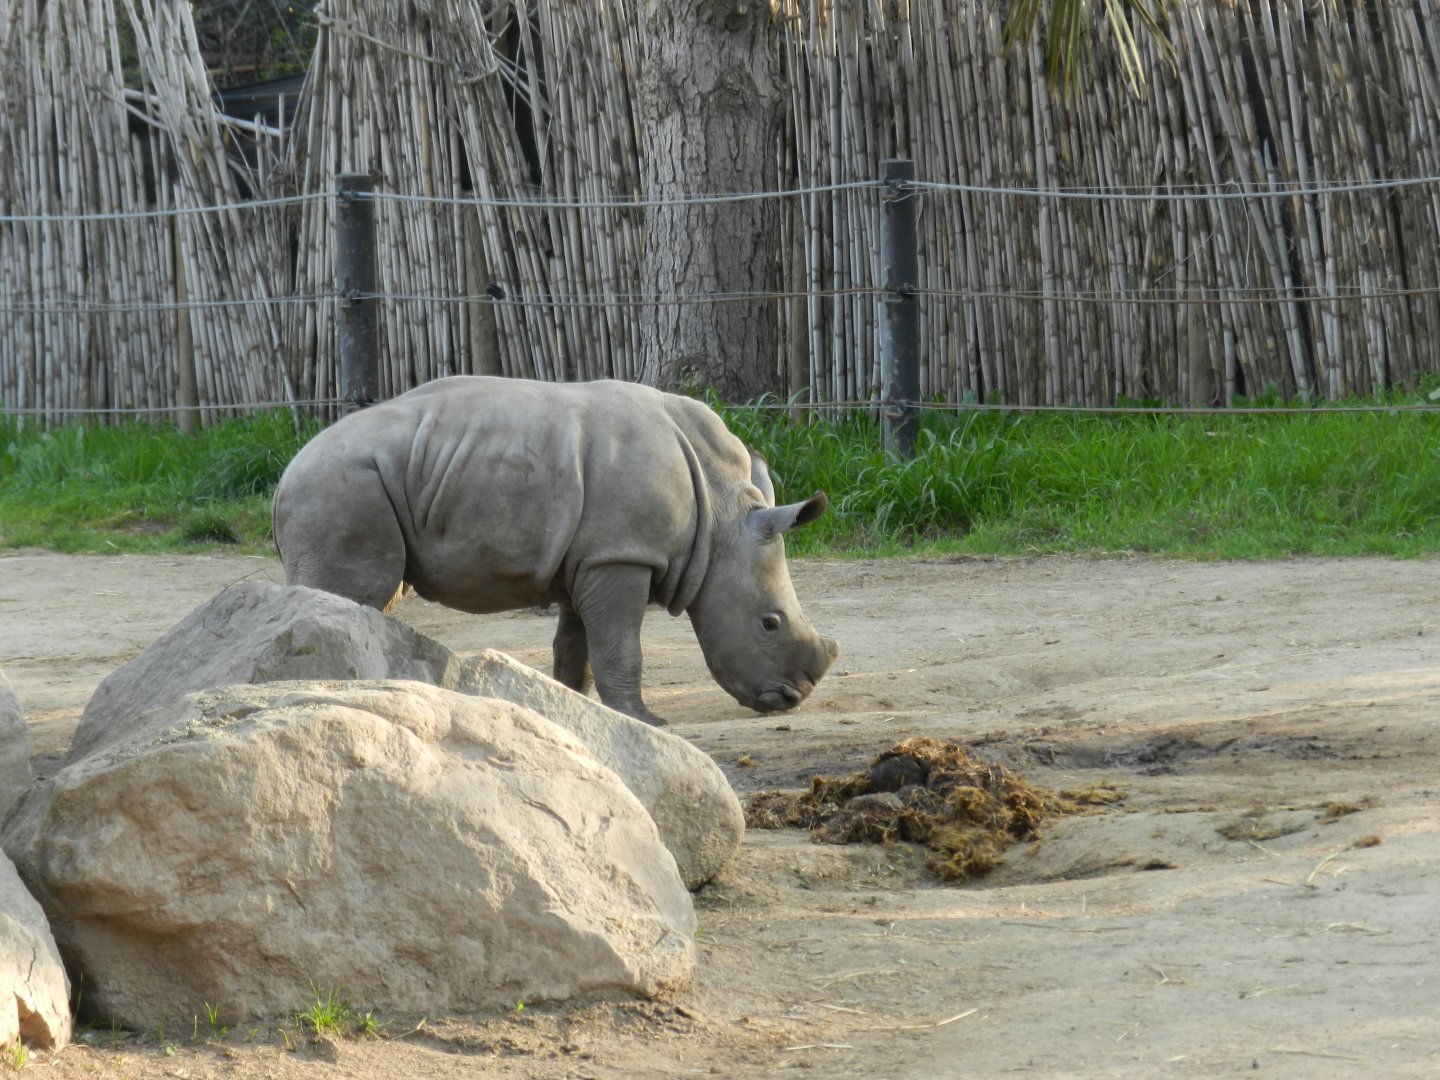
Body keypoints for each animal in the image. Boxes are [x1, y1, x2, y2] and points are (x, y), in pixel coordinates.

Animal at [272, 376, 839, 726]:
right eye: (769, 624)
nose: (793, 698)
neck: (722, 516)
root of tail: (284, 475)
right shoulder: (622, 553)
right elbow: (621, 645)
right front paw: (647, 721)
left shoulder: (590, 558)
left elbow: (577, 646)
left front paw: (579, 713)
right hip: (339, 484)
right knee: (355, 592)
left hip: (360, 480)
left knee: (378, 599)